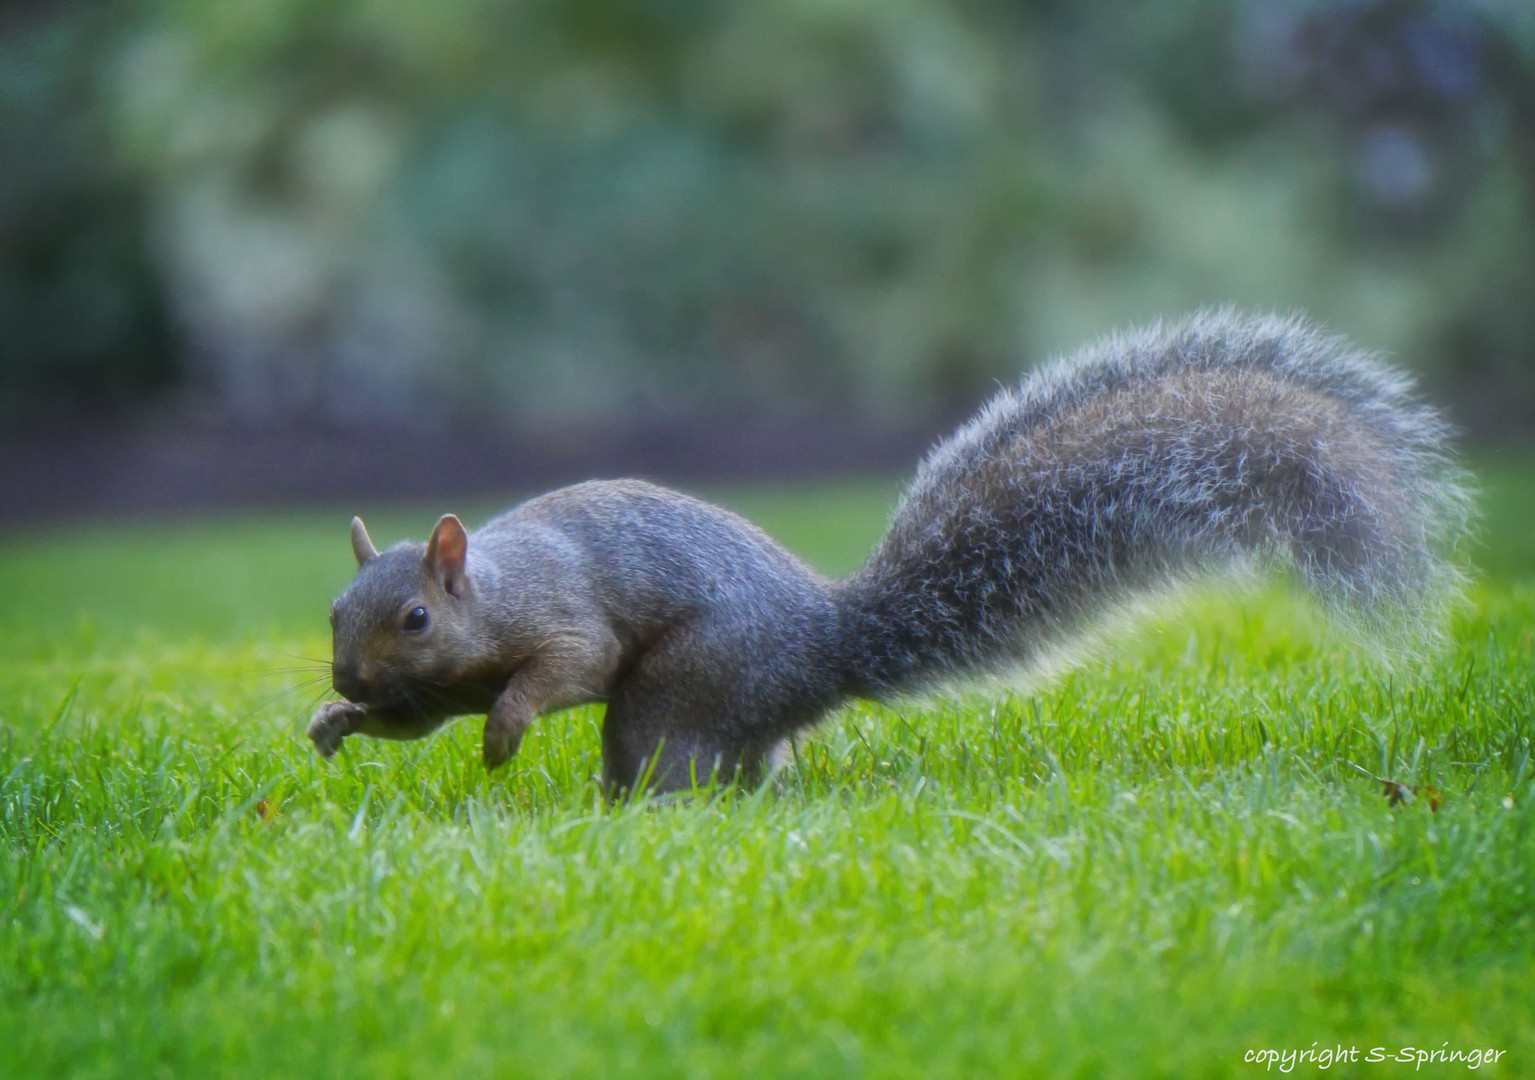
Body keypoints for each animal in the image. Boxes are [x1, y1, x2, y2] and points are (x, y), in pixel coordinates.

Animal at [305, 312, 1467, 791]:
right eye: (333, 612)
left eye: (415, 614)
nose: (344, 674)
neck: (490, 592)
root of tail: (830, 640)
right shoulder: (432, 687)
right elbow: (414, 722)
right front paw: (336, 725)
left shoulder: (559, 616)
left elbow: (559, 669)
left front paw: (503, 735)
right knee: (752, 767)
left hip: (689, 683)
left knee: (666, 755)